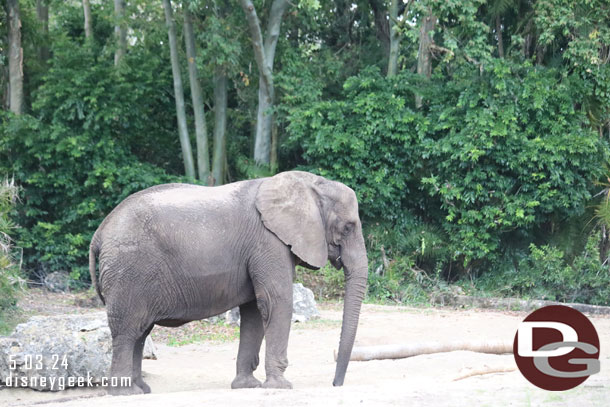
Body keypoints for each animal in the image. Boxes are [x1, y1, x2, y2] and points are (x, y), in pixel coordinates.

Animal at [88, 170, 368, 396]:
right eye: (347, 227)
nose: (335, 384)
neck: (310, 184)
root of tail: (99, 234)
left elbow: (254, 311)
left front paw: (247, 386)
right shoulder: (268, 242)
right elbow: (276, 301)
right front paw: (281, 386)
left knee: (140, 332)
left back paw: (141, 390)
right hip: (129, 272)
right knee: (127, 331)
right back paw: (125, 393)